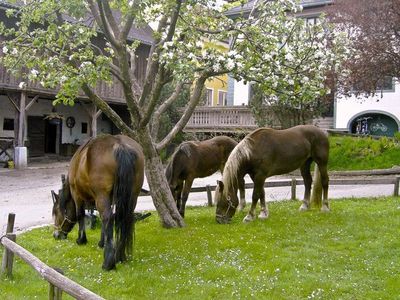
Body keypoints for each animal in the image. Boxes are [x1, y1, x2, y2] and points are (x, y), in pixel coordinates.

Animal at [51, 135, 145, 270]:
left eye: (56, 213)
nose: (56, 235)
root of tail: (119, 145)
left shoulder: (77, 195)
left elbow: (80, 215)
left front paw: (81, 239)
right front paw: (102, 242)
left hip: (102, 195)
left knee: (108, 217)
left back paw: (108, 262)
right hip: (132, 196)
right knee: (122, 218)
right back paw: (120, 256)